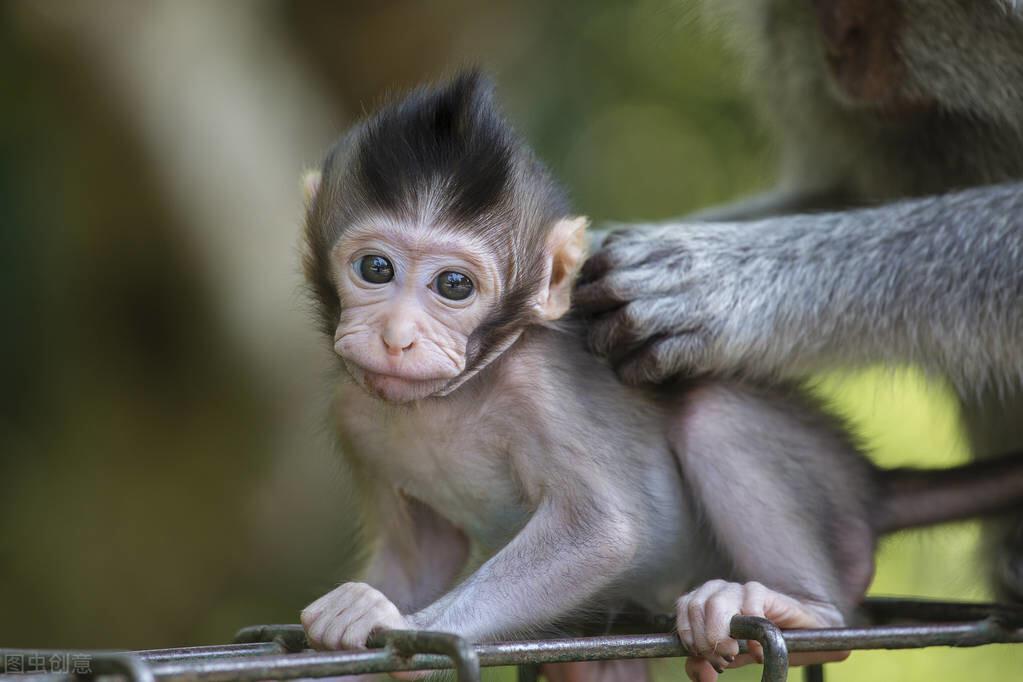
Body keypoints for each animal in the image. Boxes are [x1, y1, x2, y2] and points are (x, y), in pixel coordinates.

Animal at [298, 72, 1023, 678]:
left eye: (453, 285)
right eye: (375, 270)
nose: (396, 337)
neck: (453, 396)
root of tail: (868, 482)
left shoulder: (537, 391)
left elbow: (601, 532)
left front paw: (402, 621)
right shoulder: (351, 415)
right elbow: (422, 557)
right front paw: (359, 612)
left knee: (716, 418)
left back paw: (808, 611)